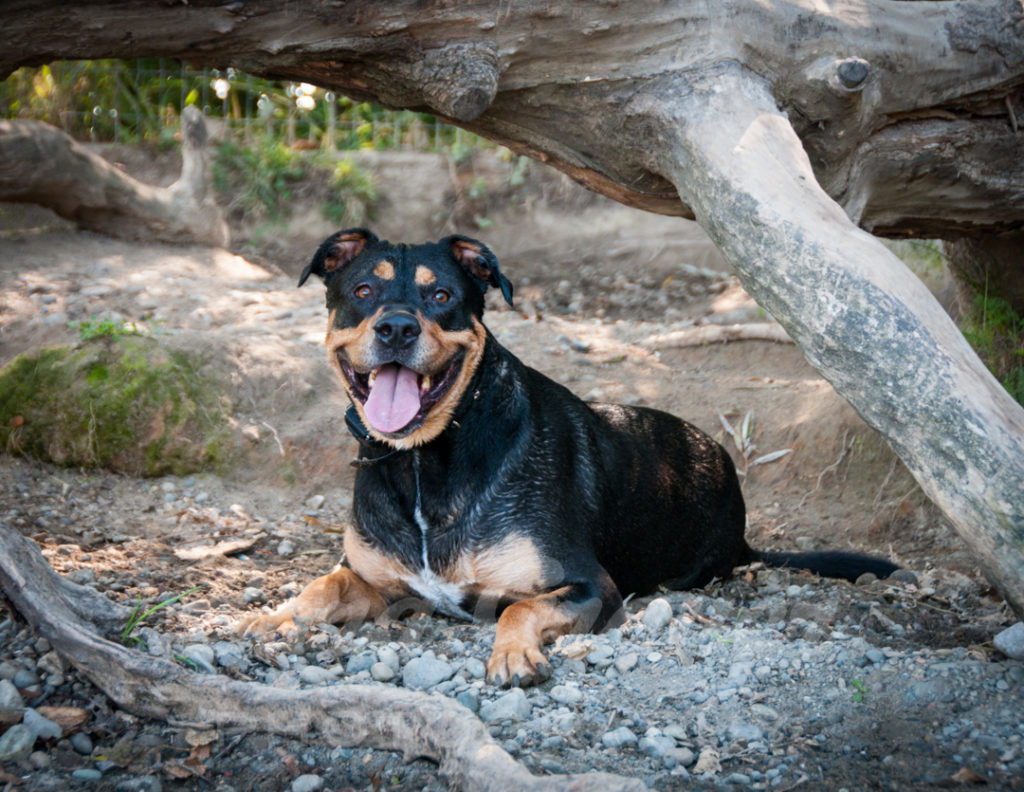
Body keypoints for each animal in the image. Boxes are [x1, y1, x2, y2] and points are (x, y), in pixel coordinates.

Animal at [239, 228, 897, 684]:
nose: (397, 328)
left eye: (443, 295)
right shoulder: (376, 583)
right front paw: (275, 615)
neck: (424, 462)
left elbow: (519, 611)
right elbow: (322, 586)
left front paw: (512, 656)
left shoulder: (588, 585)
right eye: (363, 291)